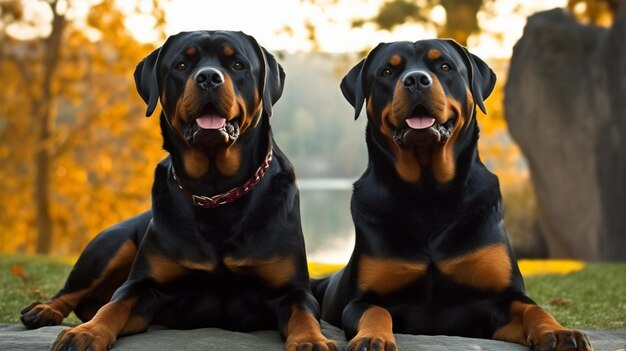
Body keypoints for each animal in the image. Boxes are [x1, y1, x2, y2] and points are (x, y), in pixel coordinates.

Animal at [18, 30, 336, 351]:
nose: (208, 77)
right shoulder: (144, 288)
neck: (217, 192)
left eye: (237, 65)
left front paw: (311, 340)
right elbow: (114, 305)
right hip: (111, 244)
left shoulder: (293, 290)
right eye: (182, 65)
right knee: (71, 290)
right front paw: (87, 332)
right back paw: (44, 309)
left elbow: (303, 312)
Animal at [312, 39, 588, 351]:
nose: (416, 80)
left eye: (444, 66)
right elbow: (375, 310)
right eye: (387, 71)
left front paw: (559, 332)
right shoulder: (361, 299)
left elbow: (533, 308)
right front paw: (373, 337)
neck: (429, 192)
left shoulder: (500, 298)